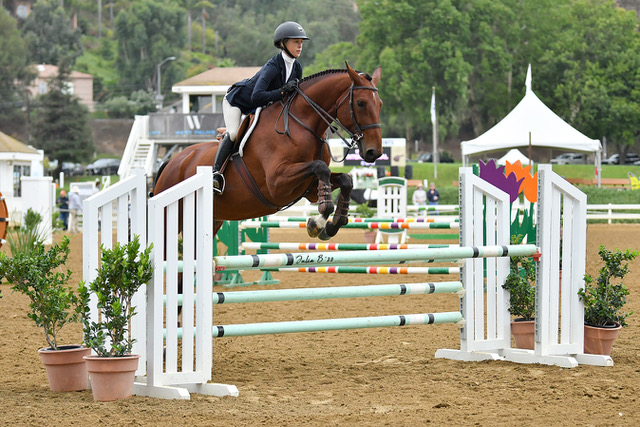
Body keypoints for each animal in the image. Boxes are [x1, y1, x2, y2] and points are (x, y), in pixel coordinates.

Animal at [154, 62, 384, 241]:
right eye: (360, 103)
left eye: (380, 104)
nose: (374, 152)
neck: (303, 123)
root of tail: (172, 162)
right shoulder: (277, 183)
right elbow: (321, 168)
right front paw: (316, 223)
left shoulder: (308, 187)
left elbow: (345, 179)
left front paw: (330, 226)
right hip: (170, 217)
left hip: (212, 219)